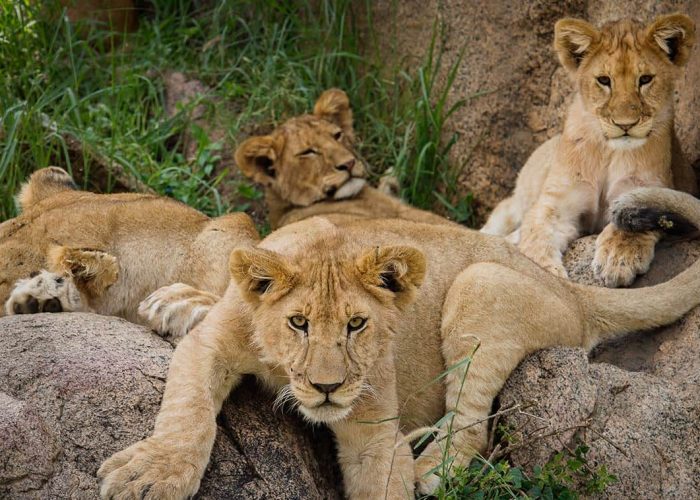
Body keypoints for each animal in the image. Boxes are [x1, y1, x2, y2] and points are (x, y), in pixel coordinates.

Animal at [98, 185, 700, 499]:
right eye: (298, 323)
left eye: (357, 325)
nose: (327, 389)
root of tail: (570, 290)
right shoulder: (214, 345)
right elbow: (188, 412)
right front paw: (154, 475)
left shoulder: (372, 426)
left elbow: (381, 470)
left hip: (480, 285)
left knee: (472, 429)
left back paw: (427, 467)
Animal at [481, 14, 696, 287]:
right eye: (604, 81)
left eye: (645, 79)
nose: (625, 124)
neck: (609, 152)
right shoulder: (556, 202)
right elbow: (536, 235)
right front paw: (545, 275)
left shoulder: (649, 189)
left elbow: (632, 224)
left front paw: (618, 260)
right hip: (518, 201)